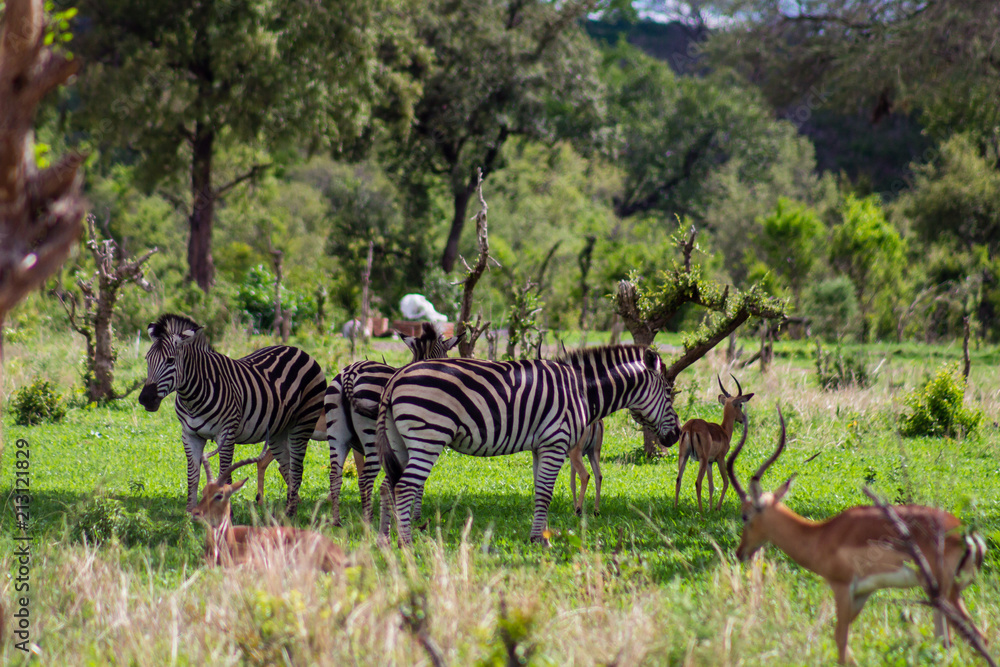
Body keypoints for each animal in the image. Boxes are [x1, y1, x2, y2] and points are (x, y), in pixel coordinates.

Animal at [138, 314, 326, 516]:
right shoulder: (189, 435)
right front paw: (190, 514)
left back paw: (290, 513)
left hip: (303, 424)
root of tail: (299, 350)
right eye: (147, 359)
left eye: (170, 360)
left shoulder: (226, 434)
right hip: (279, 431)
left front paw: (225, 514)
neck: (192, 397)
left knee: (297, 468)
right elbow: (193, 476)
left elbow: (224, 476)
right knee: (287, 467)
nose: (145, 398)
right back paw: (286, 514)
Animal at [375, 345, 681, 545]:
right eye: (668, 392)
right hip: (428, 435)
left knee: (388, 486)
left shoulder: (540, 445)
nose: (677, 434)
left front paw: (540, 535)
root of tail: (395, 377)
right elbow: (545, 493)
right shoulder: (556, 442)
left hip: (399, 441)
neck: (581, 390)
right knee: (404, 487)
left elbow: (538, 490)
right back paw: (405, 543)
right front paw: (540, 540)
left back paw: (384, 540)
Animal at [674, 374, 753, 512]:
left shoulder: (710, 462)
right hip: (702, 459)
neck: (724, 431)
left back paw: (675, 507)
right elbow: (726, 482)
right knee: (698, 482)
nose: (743, 418)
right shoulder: (720, 459)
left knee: (678, 479)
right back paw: (701, 511)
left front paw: (711, 508)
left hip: (684, 456)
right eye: (740, 404)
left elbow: (711, 485)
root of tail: (691, 426)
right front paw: (717, 508)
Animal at [727, 409, 988, 664]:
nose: (740, 552)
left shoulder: (842, 588)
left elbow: (840, 640)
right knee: (948, 641)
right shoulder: (862, 593)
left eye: (745, 516)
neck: (821, 536)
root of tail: (966, 534)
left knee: (975, 637)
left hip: (946, 594)